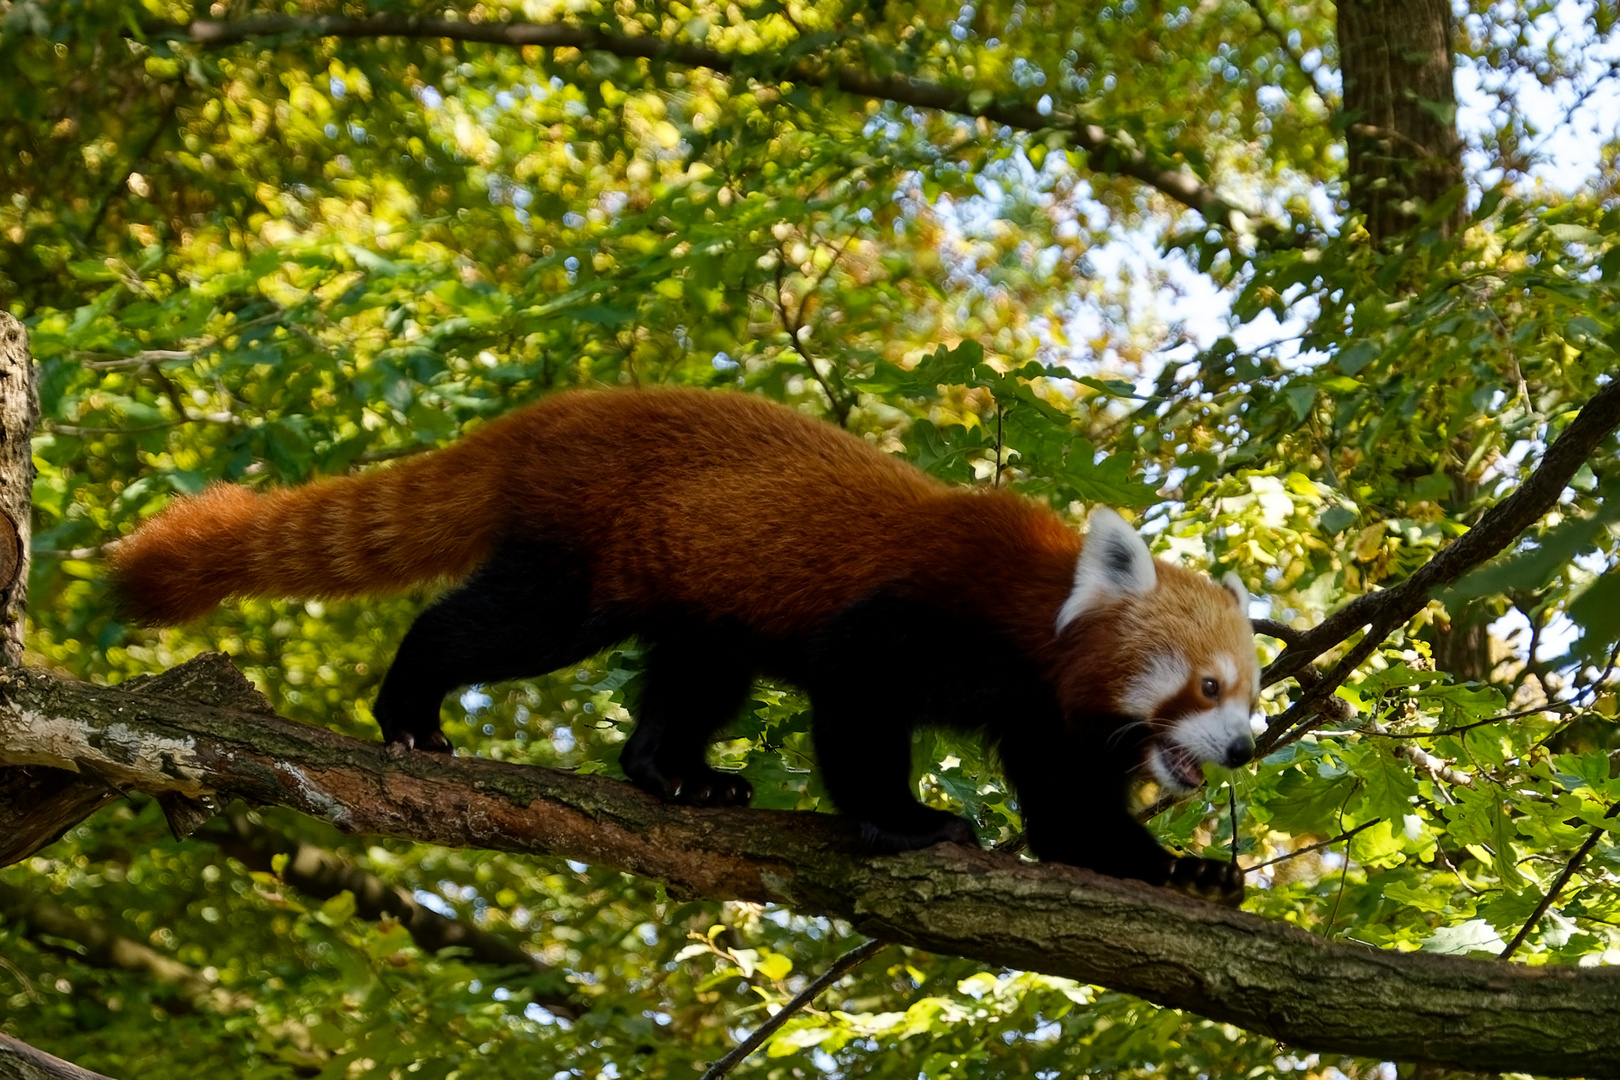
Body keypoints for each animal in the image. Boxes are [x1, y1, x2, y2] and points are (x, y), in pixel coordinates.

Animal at [107, 386, 1257, 893]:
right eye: (1207, 687)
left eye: (1251, 695)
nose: (1246, 747)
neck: (1037, 626)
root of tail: (547, 416)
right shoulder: (920, 616)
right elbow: (855, 708)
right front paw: (904, 822)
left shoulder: (1043, 714)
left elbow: (1073, 818)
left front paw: (1180, 871)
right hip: (582, 563)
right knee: (494, 625)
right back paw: (409, 710)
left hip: (700, 594)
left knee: (696, 680)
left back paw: (675, 774)